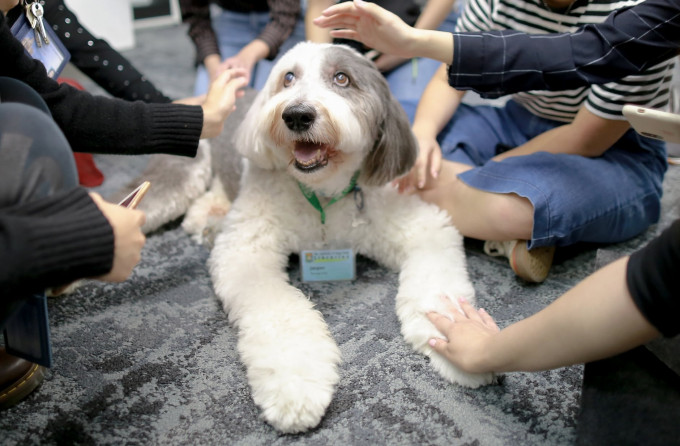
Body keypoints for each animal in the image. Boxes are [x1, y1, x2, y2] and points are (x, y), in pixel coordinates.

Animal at [119, 41, 492, 432]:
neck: (322, 196)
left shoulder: (422, 225)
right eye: (288, 78)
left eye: (342, 78)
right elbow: (280, 312)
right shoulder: (246, 247)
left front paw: (460, 342)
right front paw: (295, 385)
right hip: (174, 178)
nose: (297, 115)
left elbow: (438, 282)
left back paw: (208, 219)